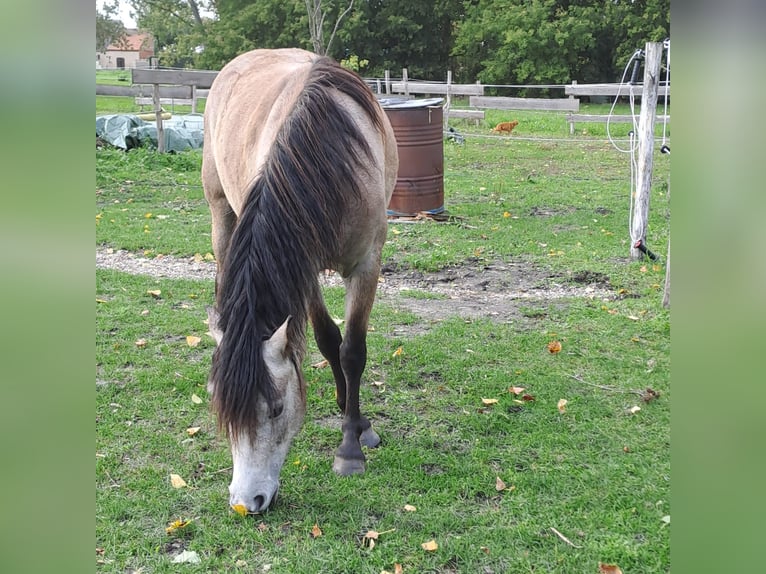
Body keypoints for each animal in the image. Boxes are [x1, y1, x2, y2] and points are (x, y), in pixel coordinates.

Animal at [201, 49, 400, 516]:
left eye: (276, 409)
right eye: (222, 411)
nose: (246, 502)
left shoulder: (367, 264)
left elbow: (352, 351)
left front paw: (352, 443)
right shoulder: (303, 272)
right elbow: (328, 340)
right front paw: (349, 416)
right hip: (221, 214)